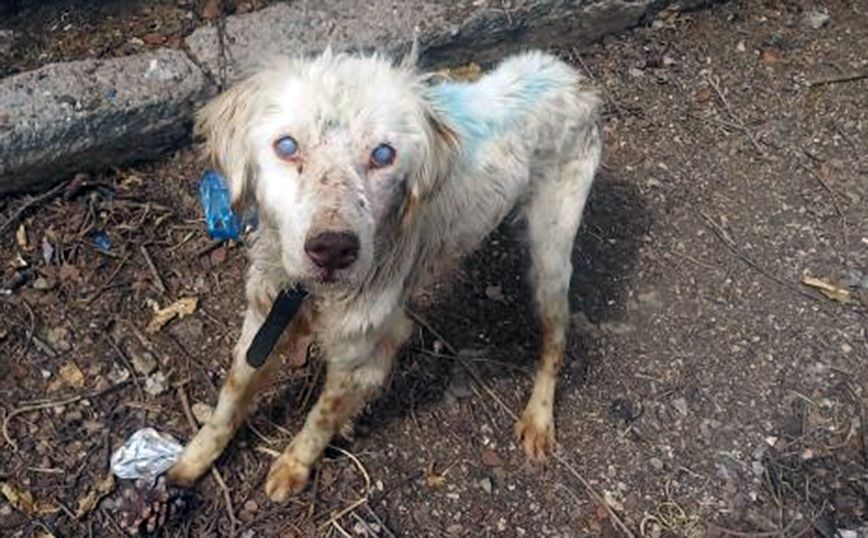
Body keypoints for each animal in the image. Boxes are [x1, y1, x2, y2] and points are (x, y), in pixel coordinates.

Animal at [170, 48, 604, 500]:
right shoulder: (264, 316)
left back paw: (539, 418)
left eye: (383, 155)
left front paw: (294, 464)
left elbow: (322, 416)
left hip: (550, 258)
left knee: (556, 339)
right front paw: (193, 459)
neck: (311, 295)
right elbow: (233, 393)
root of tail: (570, 76)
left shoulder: (363, 352)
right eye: (287, 146)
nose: (332, 249)